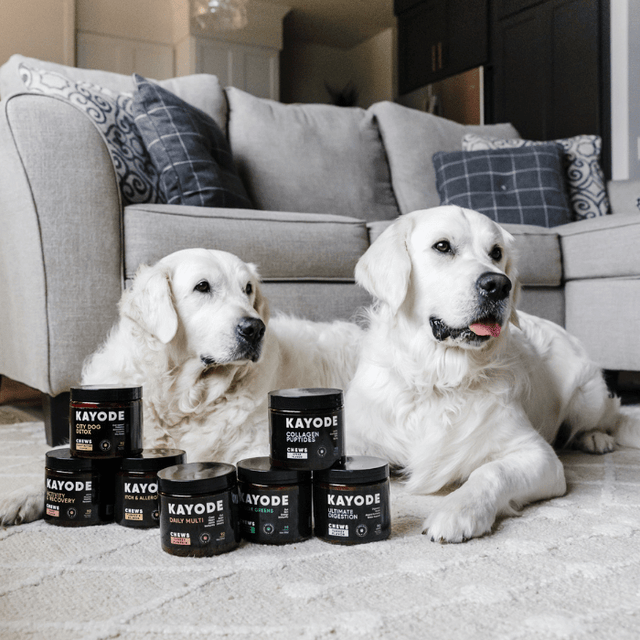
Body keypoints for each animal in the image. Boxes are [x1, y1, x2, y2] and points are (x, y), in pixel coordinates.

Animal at [344, 208, 640, 544]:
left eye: (496, 253)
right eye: (442, 246)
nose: (499, 284)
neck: (439, 378)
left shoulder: (539, 456)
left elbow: (490, 471)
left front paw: (458, 510)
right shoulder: (358, 439)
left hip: (588, 398)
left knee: (610, 417)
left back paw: (595, 438)